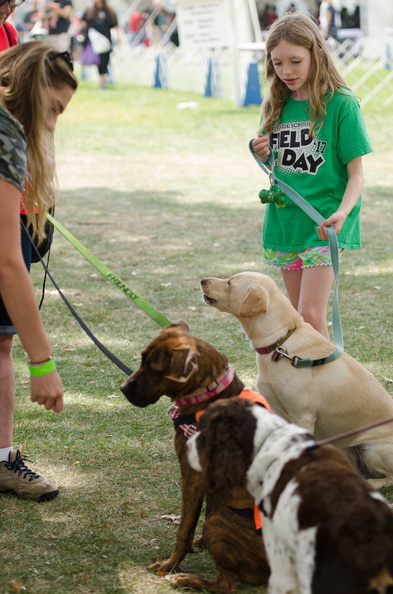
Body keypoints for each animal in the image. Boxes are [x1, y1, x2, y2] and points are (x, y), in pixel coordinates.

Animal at [120, 322, 270, 592]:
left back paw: (185, 579)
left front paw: (170, 564)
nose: (123, 388)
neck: (208, 394)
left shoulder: (192, 479)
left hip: (219, 523)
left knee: (226, 585)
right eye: (141, 358)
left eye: (153, 368)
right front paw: (191, 547)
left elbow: (183, 528)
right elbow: (191, 525)